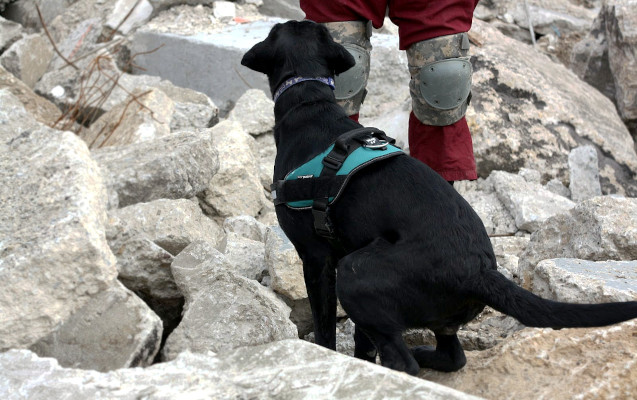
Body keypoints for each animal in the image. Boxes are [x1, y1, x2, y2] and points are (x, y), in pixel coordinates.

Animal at [241, 20, 636, 376]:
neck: (308, 101)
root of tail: (479, 271)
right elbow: (364, 342)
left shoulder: (317, 257)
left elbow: (325, 328)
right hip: (425, 311)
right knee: (452, 356)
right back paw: (427, 355)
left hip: (355, 273)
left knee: (405, 363)